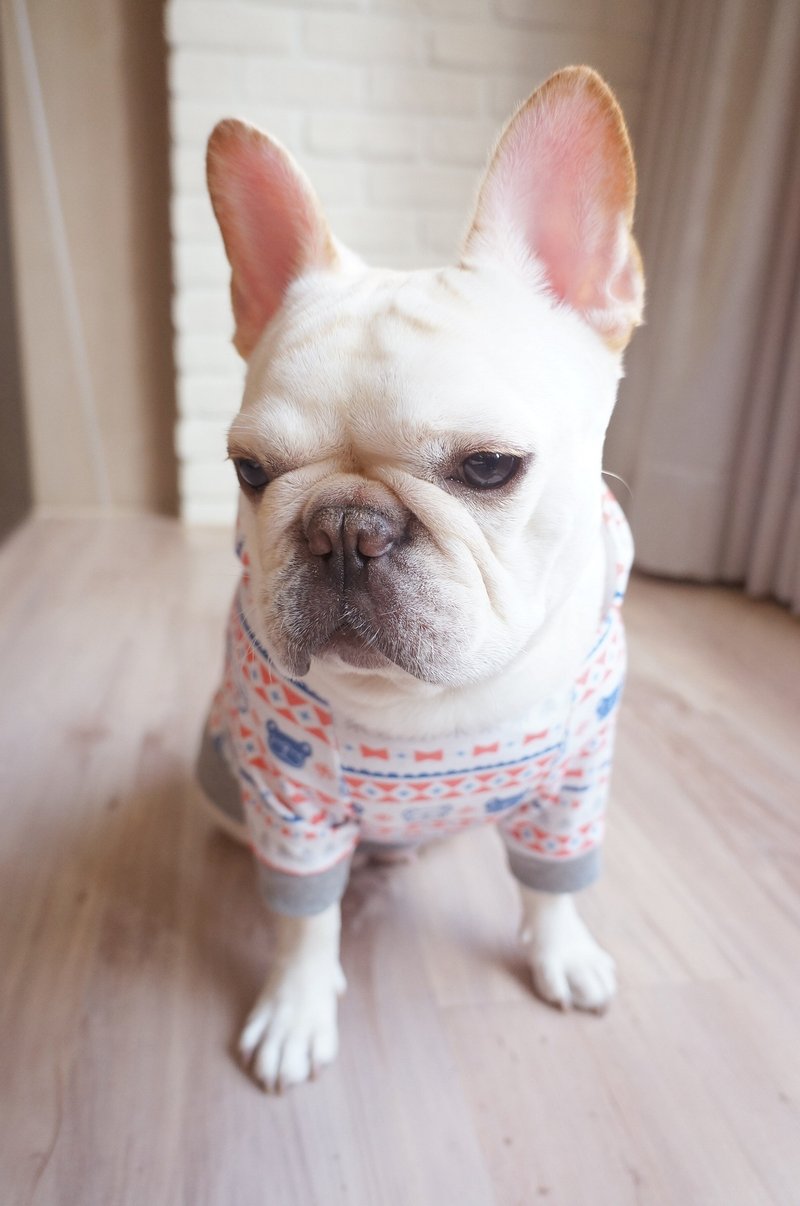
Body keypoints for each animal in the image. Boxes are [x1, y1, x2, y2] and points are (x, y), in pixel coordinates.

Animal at [199, 66, 646, 1095]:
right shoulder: (290, 802)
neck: (431, 707)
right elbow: (301, 918)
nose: (343, 528)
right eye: (250, 471)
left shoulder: (576, 783)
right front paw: (296, 1007)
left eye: (488, 468)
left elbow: (555, 883)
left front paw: (562, 954)